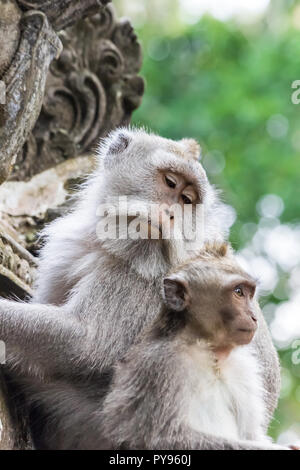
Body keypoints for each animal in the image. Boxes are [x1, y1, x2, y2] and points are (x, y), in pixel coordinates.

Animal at [102, 244, 290, 450]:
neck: (208, 351)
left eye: (249, 293)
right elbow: (160, 439)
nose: (254, 317)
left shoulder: (243, 369)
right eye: (239, 292)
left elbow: (251, 434)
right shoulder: (160, 366)